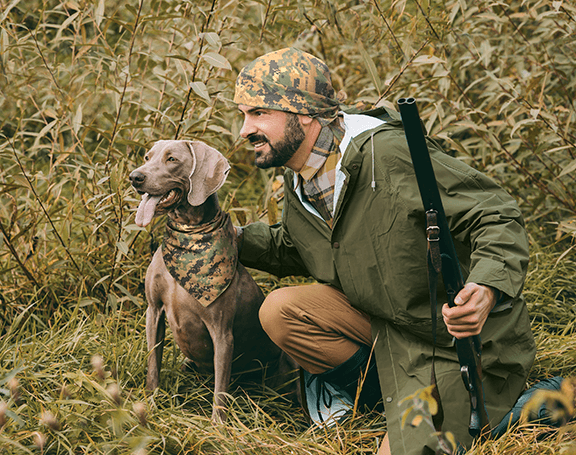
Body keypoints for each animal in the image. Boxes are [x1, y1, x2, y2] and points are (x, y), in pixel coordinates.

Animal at [129, 141, 294, 422]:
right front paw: (150, 403)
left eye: (172, 159)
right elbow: (153, 365)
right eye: (147, 157)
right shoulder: (153, 311)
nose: (135, 177)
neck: (189, 237)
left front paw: (218, 425)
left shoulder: (222, 332)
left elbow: (221, 389)